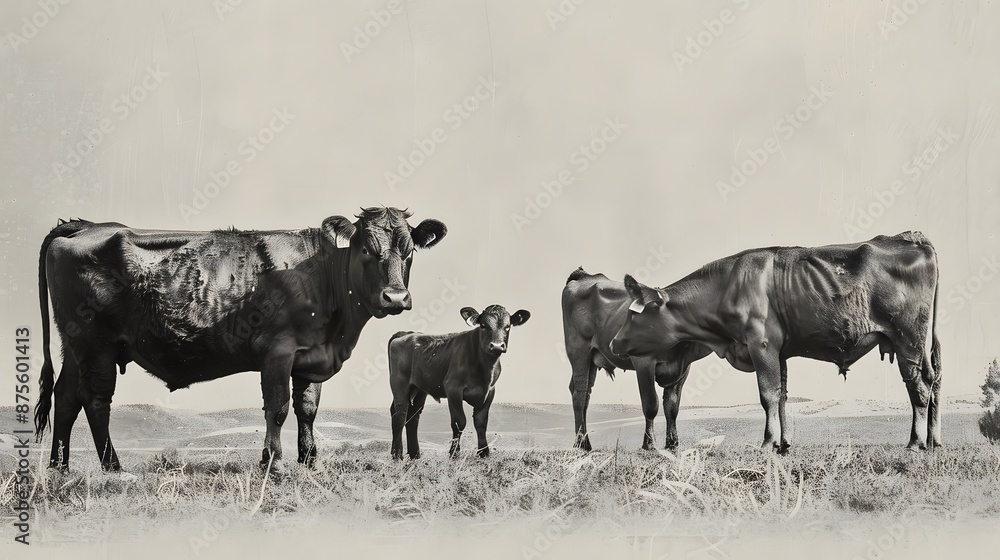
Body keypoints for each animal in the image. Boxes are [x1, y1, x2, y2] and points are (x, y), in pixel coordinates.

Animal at [34, 207, 447, 472]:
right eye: (366, 249)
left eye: (409, 251)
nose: (395, 297)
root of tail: (86, 226)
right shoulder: (277, 351)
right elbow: (278, 408)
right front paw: (274, 463)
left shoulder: (311, 357)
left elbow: (307, 409)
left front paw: (309, 461)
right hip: (97, 345)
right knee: (95, 400)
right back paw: (114, 468)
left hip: (74, 346)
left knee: (66, 396)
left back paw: (60, 468)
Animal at [388, 305, 530, 459]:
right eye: (483, 325)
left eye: (507, 327)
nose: (497, 346)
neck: (484, 369)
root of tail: (407, 333)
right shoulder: (453, 388)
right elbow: (459, 422)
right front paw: (454, 453)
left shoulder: (490, 391)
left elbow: (481, 422)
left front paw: (483, 452)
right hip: (400, 384)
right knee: (400, 416)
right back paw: (397, 454)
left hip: (419, 389)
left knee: (413, 418)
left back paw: (415, 455)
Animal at [562, 268, 712, 451]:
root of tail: (585, 276)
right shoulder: (644, 363)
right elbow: (651, 405)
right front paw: (650, 444)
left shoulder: (682, 369)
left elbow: (672, 407)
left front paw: (672, 444)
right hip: (579, 351)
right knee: (579, 394)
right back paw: (581, 444)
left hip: (592, 358)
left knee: (584, 394)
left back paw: (584, 441)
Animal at [610, 232, 942, 452]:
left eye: (635, 315)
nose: (613, 343)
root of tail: (911, 237)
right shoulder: (779, 352)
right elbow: (782, 396)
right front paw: (784, 445)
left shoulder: (762, 344)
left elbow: (767, 395)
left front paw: (768, 443)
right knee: (933, 383)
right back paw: (933, 440)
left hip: (908, 340)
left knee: (919, 387)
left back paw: (916, 443)